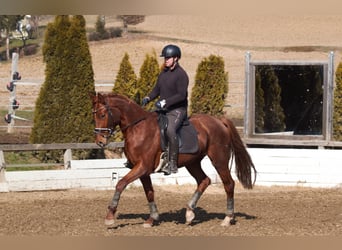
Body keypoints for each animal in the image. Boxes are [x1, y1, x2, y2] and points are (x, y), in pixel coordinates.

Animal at [91, 93, 256, 228]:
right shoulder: (143, 170)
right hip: (192, 163)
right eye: (95, 116)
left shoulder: (142, 167)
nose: (100, 142)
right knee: (204, 180)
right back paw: (189, 213)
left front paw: (110, 216)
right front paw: (152, 219)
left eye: (103, 114)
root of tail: (219, 121)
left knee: (229, 184)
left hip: (219, 160)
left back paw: (227, 218)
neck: (137, 128)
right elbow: (149, 192)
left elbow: (120, 184)